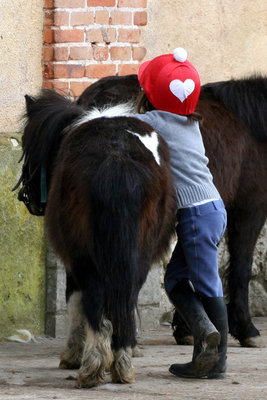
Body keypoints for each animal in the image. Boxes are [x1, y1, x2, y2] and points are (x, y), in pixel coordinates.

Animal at [15, 89, 178, 386]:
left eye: (26, 143)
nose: (28, 199)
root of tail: (116, 157)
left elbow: (74, 301)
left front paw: (73, 354)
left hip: (84, 255)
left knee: (93, 300)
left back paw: (93, 363)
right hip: (138, 251)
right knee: (125, 296)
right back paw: (121, 360)